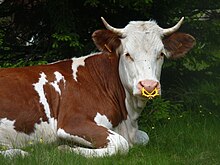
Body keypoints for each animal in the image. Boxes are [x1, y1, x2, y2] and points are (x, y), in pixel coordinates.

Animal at [0, 16, 196, 157]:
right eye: (127, 54)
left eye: (161, 54)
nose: (149, 86)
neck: (128, 118)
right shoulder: (72, 122)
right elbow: (121, 144)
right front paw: (65, 149)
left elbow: (144, 137)